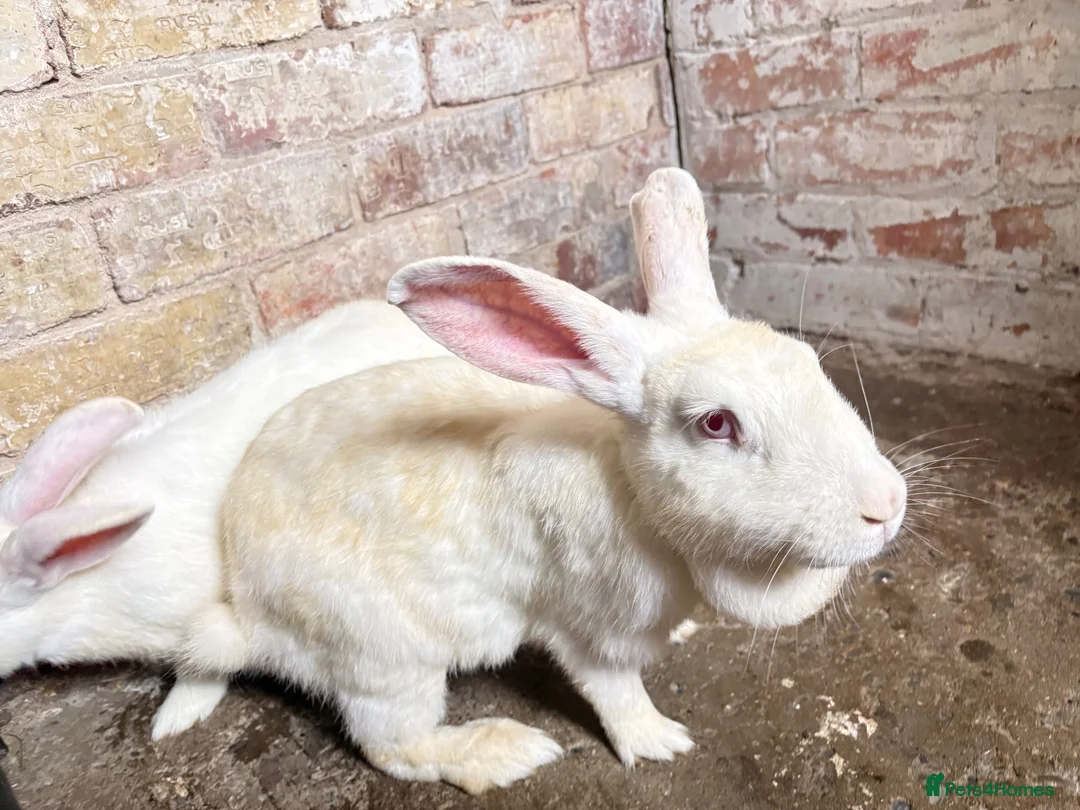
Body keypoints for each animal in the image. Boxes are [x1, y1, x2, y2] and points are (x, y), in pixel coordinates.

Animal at [212, 167, 907, 794]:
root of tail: (245, 609)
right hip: (386, 659)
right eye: (716, 423)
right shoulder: (589, 629)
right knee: (392, 745)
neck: (635, 496)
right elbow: (613, 690)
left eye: (808, 360)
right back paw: (505, 752)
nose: (887, 506)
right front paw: (660, 741)